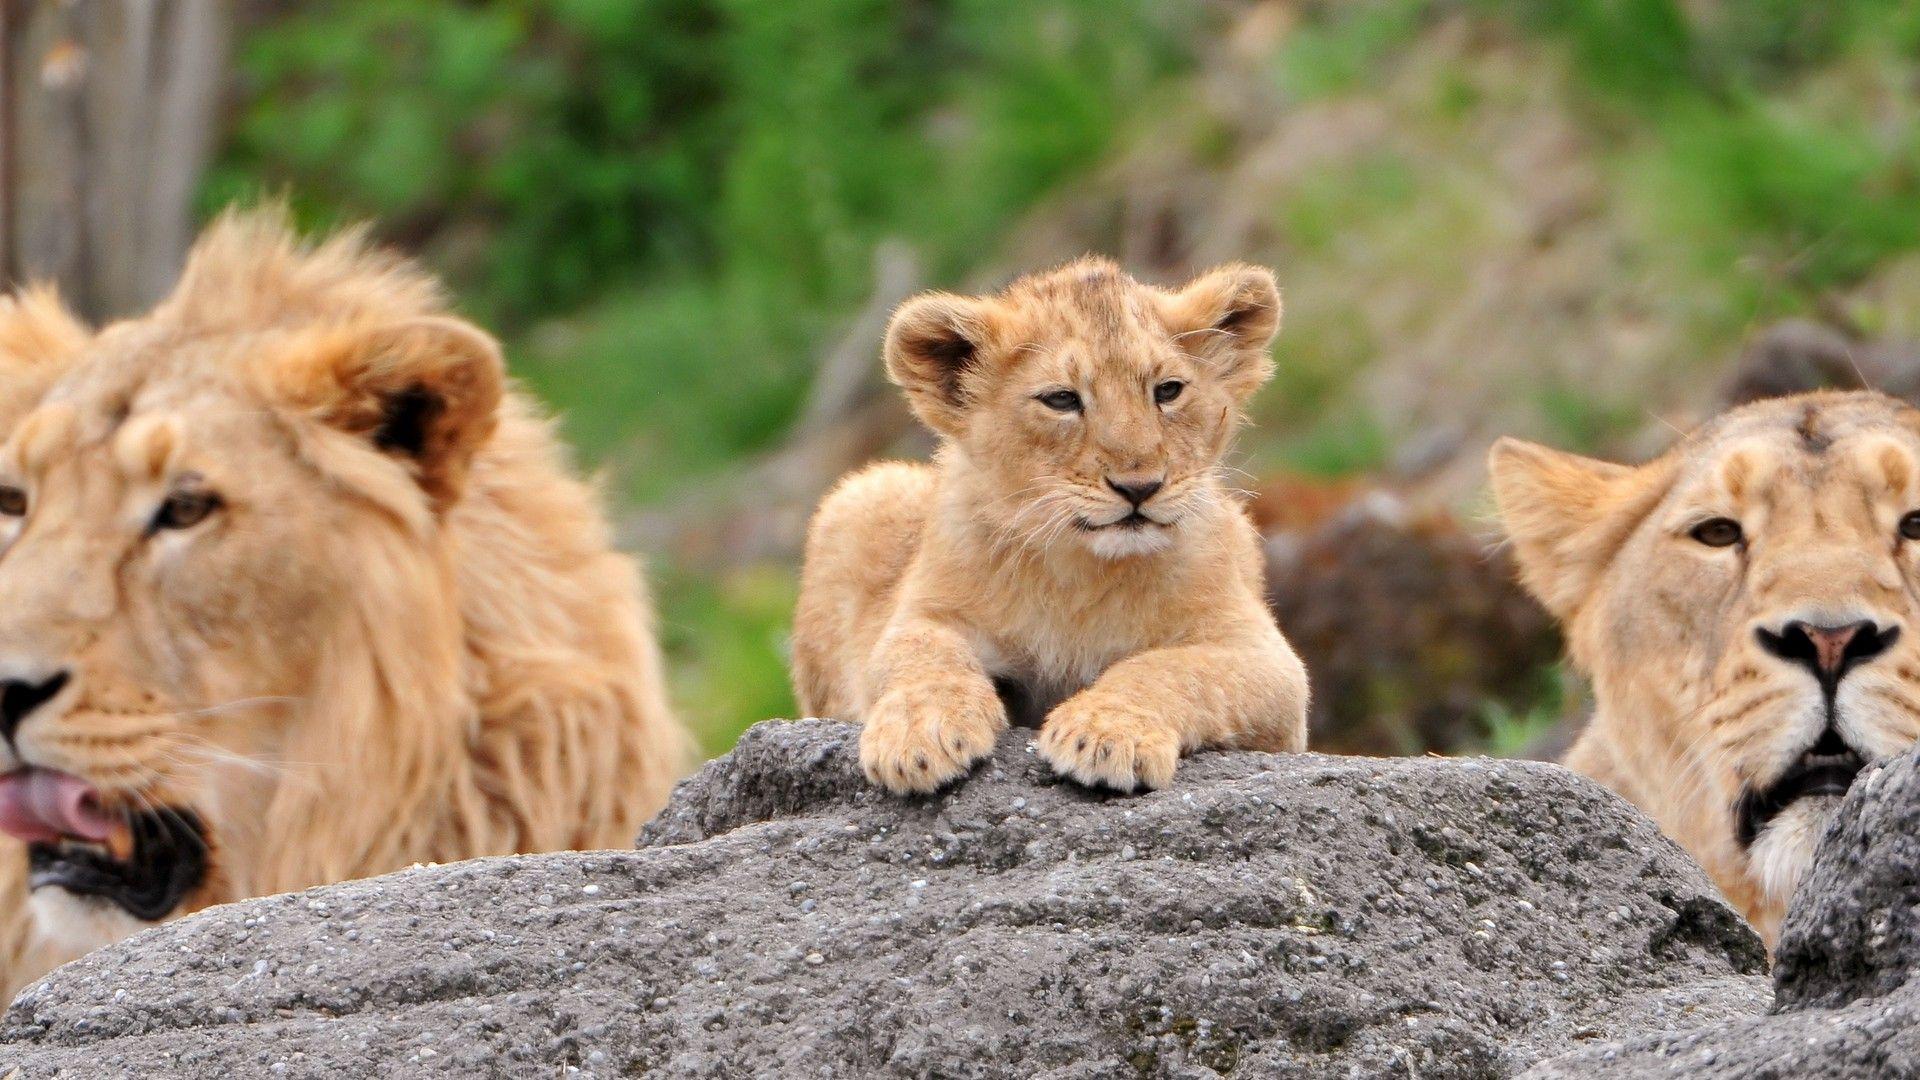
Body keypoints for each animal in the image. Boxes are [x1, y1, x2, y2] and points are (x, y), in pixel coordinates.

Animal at [792, 258, 1309, 795]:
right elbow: (921, 656)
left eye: (1168, 391)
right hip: (861, 493)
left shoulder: (1268, 663)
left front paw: (1105, 733)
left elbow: (1169, 669)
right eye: (1061, 400)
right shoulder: (924, 613)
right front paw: (920, 734)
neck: (1080, 572)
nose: (1139, 487)